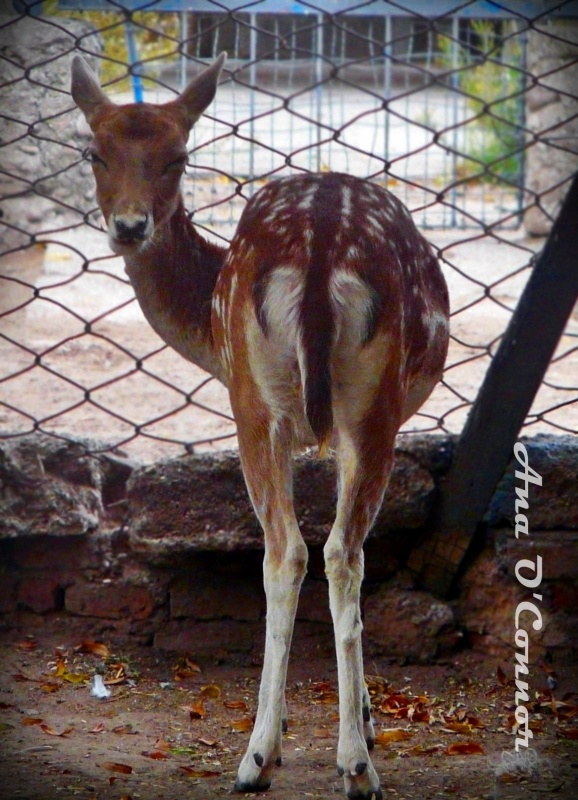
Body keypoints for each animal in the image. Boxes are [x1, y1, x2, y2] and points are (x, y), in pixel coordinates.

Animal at [72, 53, 448, 796]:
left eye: (179, 156)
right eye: (93, 151)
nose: (130, 226)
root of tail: (323, 249)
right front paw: (361, 718)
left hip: (257, 402)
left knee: (292, 552)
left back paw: (269, 757)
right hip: (364, 407)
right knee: (333, 552)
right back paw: (344, 761)